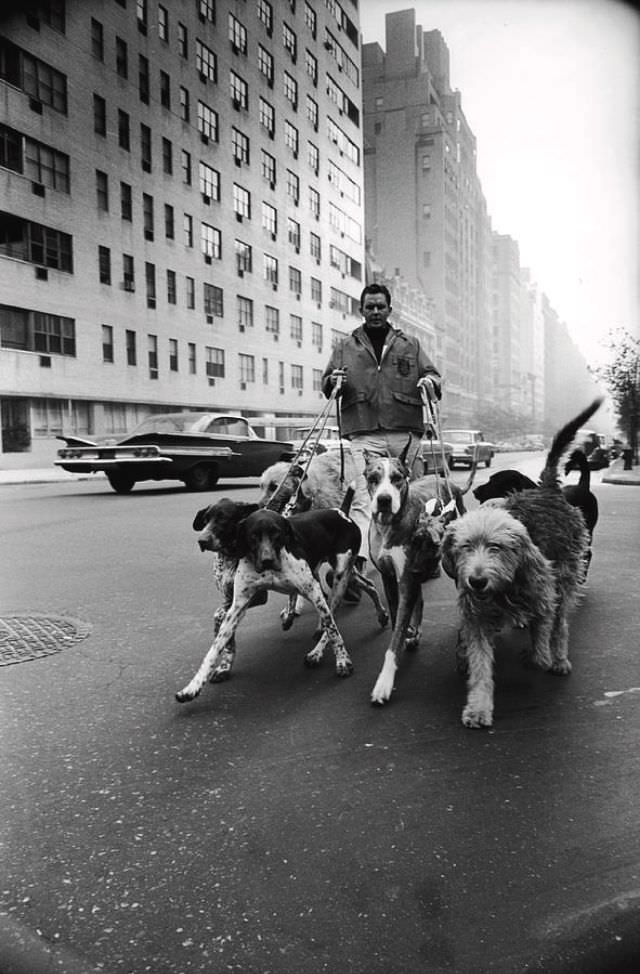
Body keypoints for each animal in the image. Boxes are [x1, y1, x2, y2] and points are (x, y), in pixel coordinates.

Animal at [440, 400, 600, 728]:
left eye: (496, 548)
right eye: (465, 547)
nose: (477, 581)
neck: (504, 586)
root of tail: (549, 489)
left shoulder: (543, 598)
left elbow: (541, 642)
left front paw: (537, 656)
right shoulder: (477, 618)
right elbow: (479, 664)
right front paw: (478, 707)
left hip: (567, 576)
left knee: (561, 623)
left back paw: (559, 658)